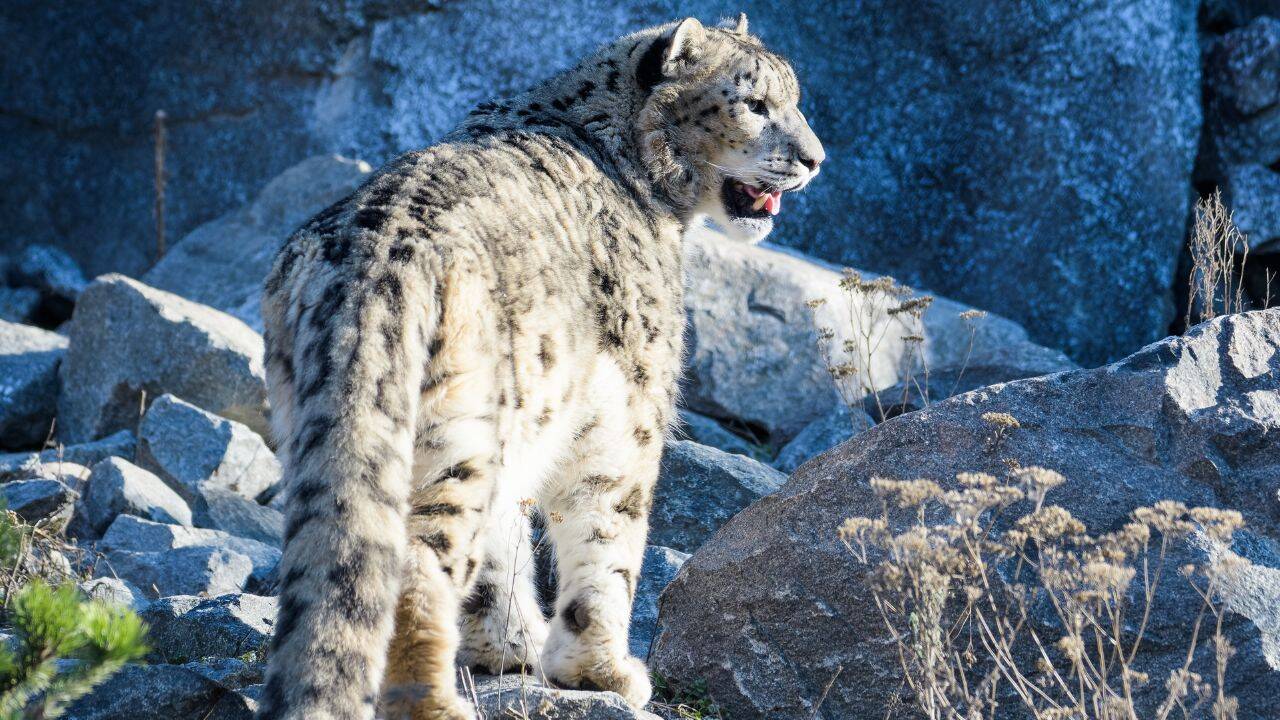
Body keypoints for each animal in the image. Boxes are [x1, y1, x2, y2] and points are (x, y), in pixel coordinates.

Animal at [255, 14, 823, 720]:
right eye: (754, 103)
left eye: (793, 98)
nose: (814, 159)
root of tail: (368, 269)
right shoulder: (628, 410)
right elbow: (608, 535)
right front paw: (602, 671)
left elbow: (504, 548)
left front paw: (511, 646)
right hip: (459, 428)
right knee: (414, 565)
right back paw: (435, 705)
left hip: (318, 422)